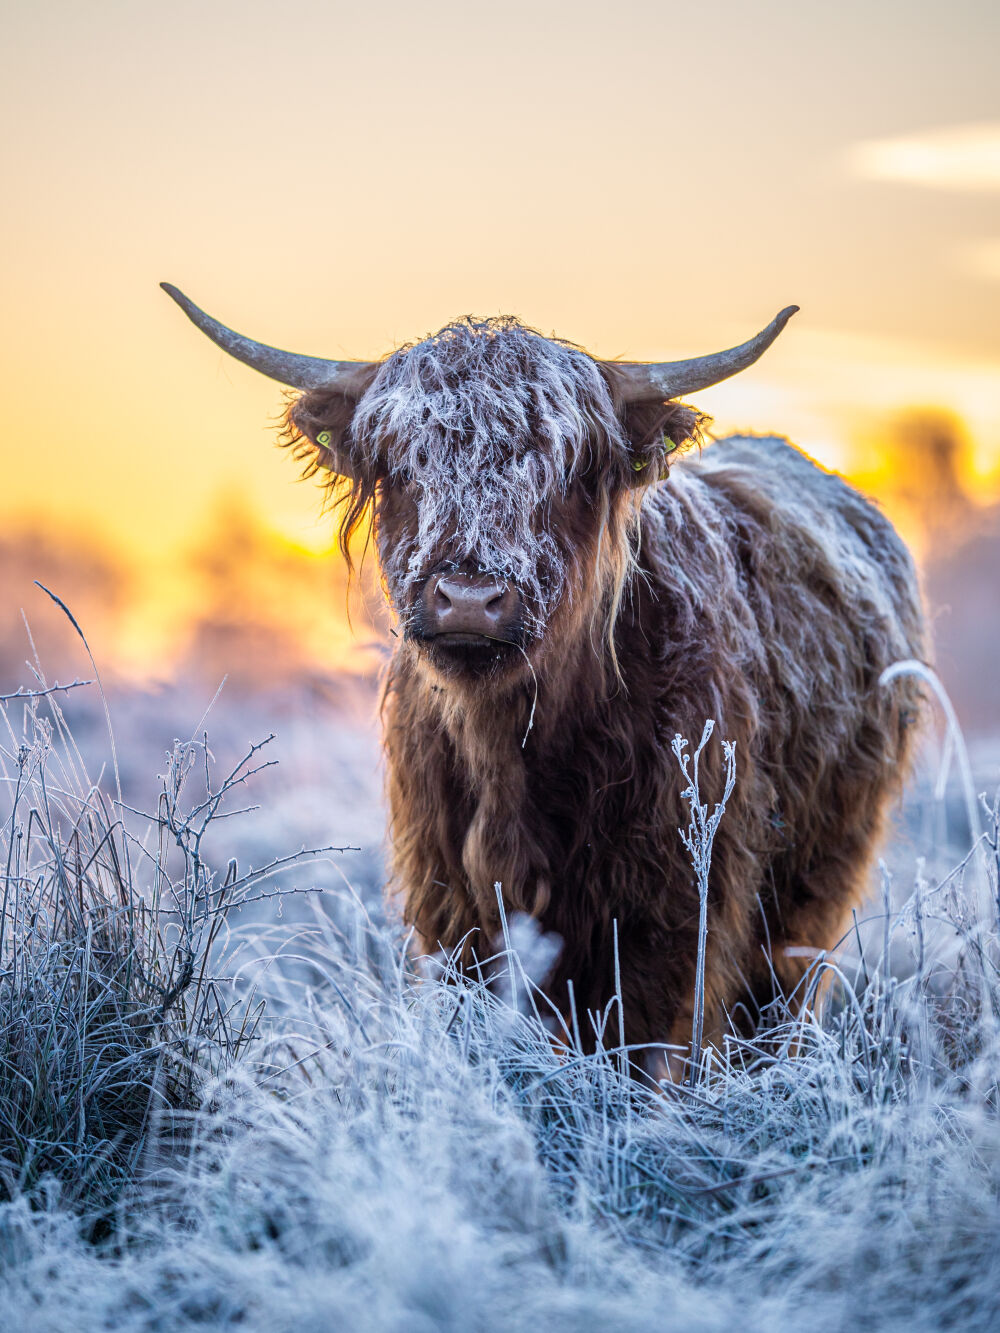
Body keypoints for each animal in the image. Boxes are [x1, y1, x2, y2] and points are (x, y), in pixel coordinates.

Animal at [162, 286, 922, 1077]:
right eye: (402, 463)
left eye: (565, 468)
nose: (468, 596)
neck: (513, 750)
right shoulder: (450, 899)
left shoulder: (671, 902)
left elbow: (639, 1036)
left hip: (816, 883)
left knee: (775, 1001)